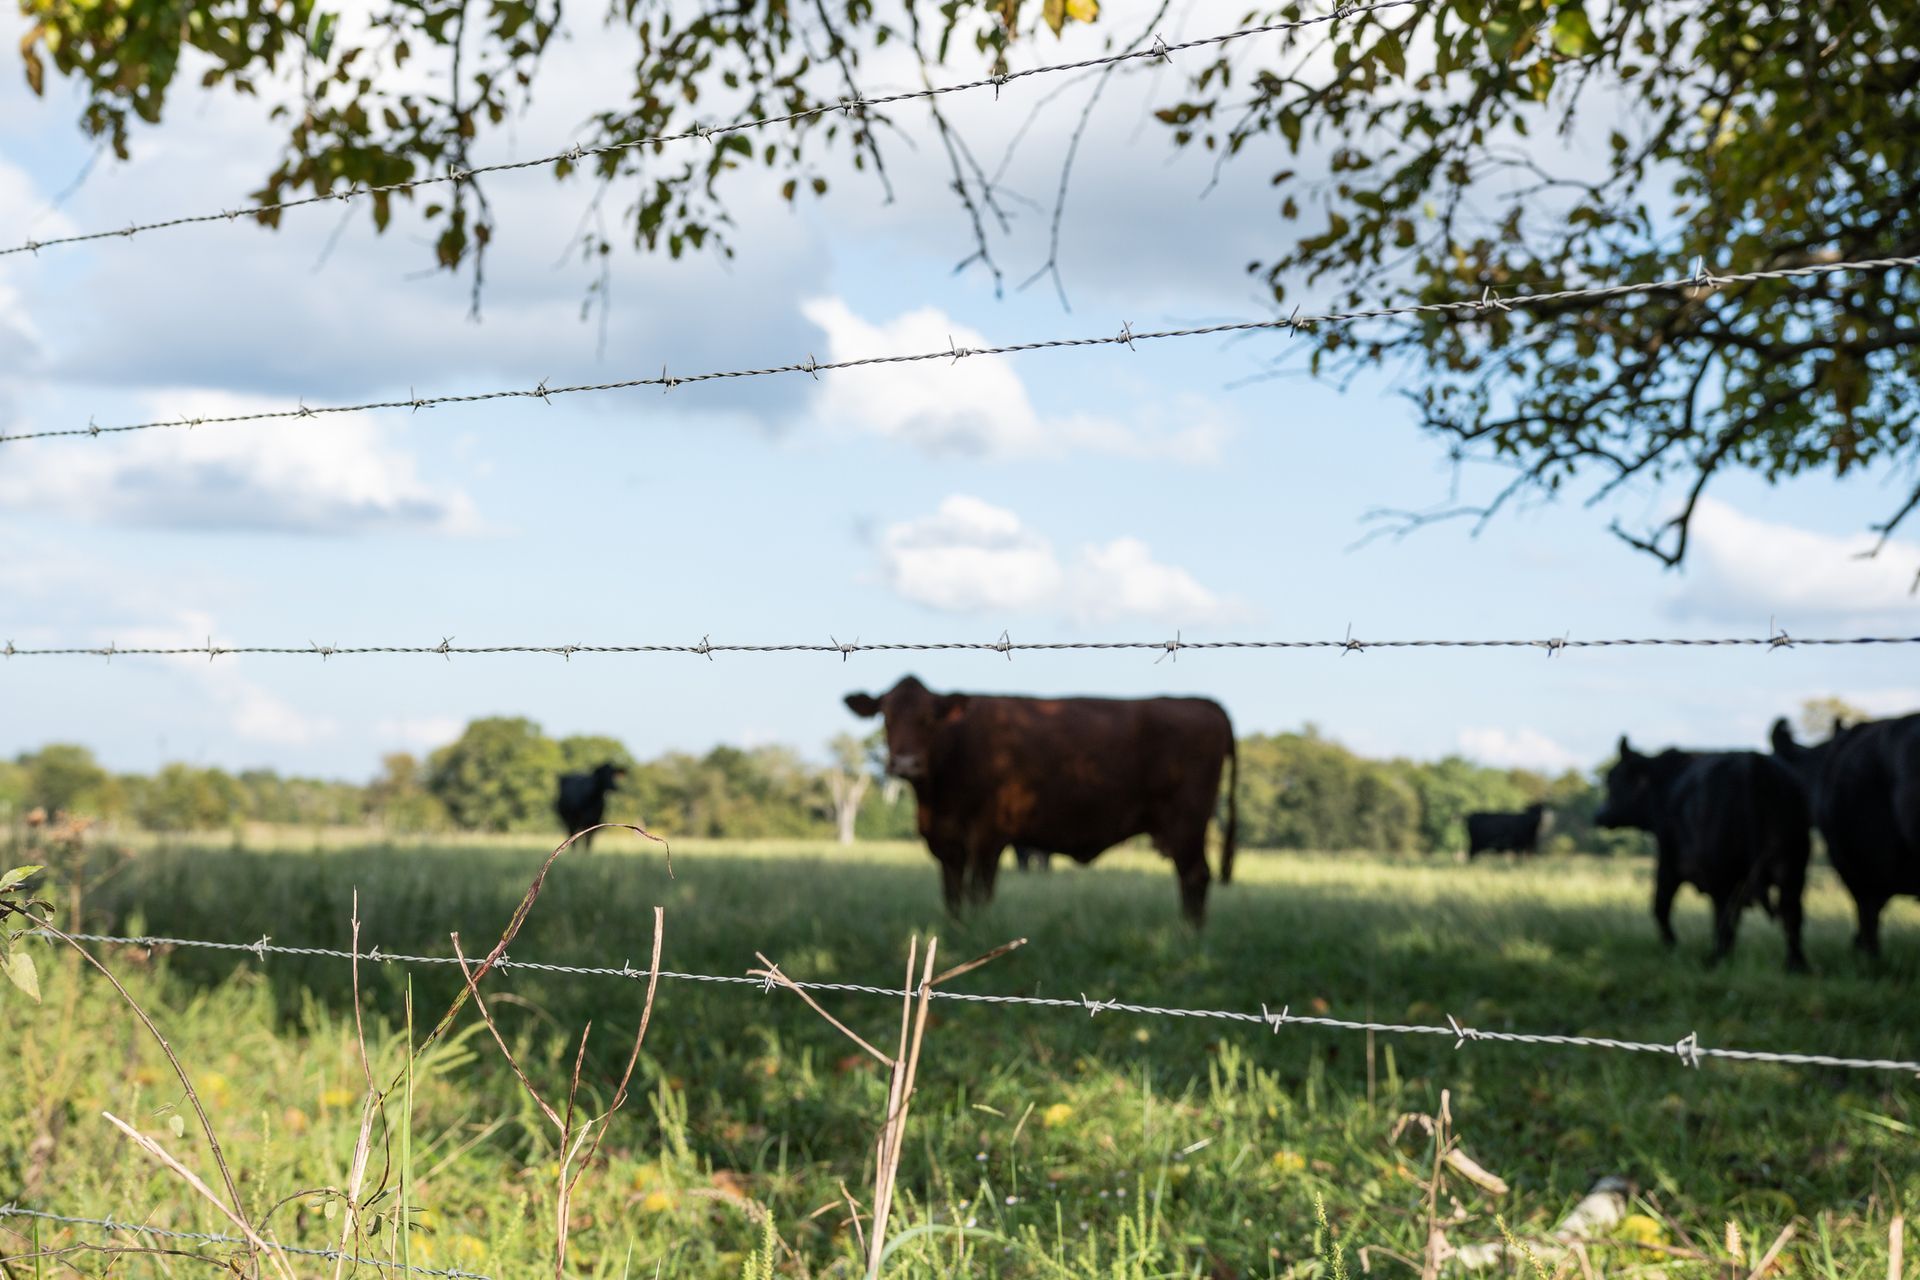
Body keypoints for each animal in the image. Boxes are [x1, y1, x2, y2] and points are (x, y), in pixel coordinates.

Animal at [844, 675, 1238, 925]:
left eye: (929, 718)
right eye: (885, 716)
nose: (905, 763)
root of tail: (1203, 703)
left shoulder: (987, 836)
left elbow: (979, 891)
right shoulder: (946, 841)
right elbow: (953, 894)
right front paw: (954, 931)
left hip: (1187, 822)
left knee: (1195, 877)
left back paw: (1189, 935)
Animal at [1595, 735, 1810, 972]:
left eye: (1612, 778)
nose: (1599, 815)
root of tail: (1751, 761)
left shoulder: (1668, 862)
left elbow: (1660, 905)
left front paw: (1672, 946)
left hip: (1724, 872)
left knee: (1724, 916)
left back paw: (1715, 960)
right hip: (1792, 867)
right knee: (1791, 914)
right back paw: (1795, 965)